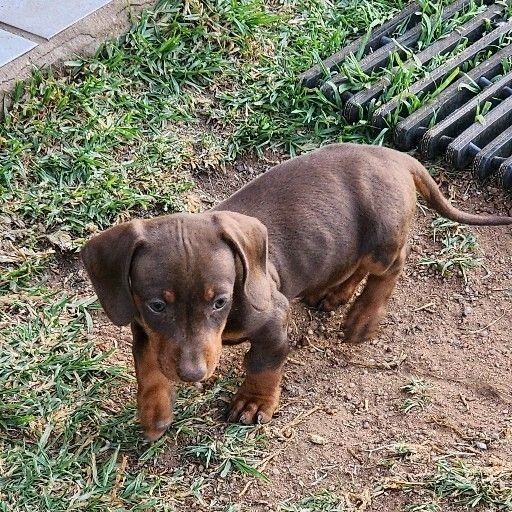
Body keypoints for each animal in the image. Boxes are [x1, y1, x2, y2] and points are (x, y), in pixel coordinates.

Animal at [81, 143, 512, 440]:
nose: (193, 374)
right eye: (157, 305)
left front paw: (254, 402)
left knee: (390, 268)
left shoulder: (274, 320)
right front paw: (154, 412)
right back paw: (334, 294)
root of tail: (397, 158)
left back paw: (362, 318)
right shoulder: (143, 328)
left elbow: (263, 364)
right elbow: (148, 368)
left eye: (219, 301)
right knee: (353, 265)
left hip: (381, 242)